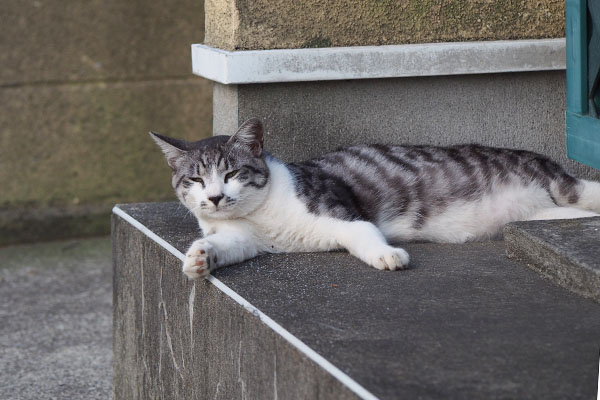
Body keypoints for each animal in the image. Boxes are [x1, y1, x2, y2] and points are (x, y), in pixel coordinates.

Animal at [151, 117, 600, 278]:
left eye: (231, 173)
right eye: (195, 179)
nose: (214, 197)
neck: (260, 216)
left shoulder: (341, 213)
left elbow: (363, 235)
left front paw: (388, 256)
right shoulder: (245, 239)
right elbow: (226, 246)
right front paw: (199, 259)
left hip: (560, 186)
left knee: (584, 190)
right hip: (539, 217)